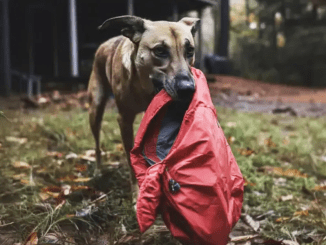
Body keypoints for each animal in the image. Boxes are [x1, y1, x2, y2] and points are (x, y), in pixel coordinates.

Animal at [87, 15, 199, 197]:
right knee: (97, 144)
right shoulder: (124, 120)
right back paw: (98, 170)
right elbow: (130, 158)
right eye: (159, 50)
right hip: (95, 109)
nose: (188, 89)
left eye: (190, 50)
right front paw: (136, 193)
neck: (146, 89)